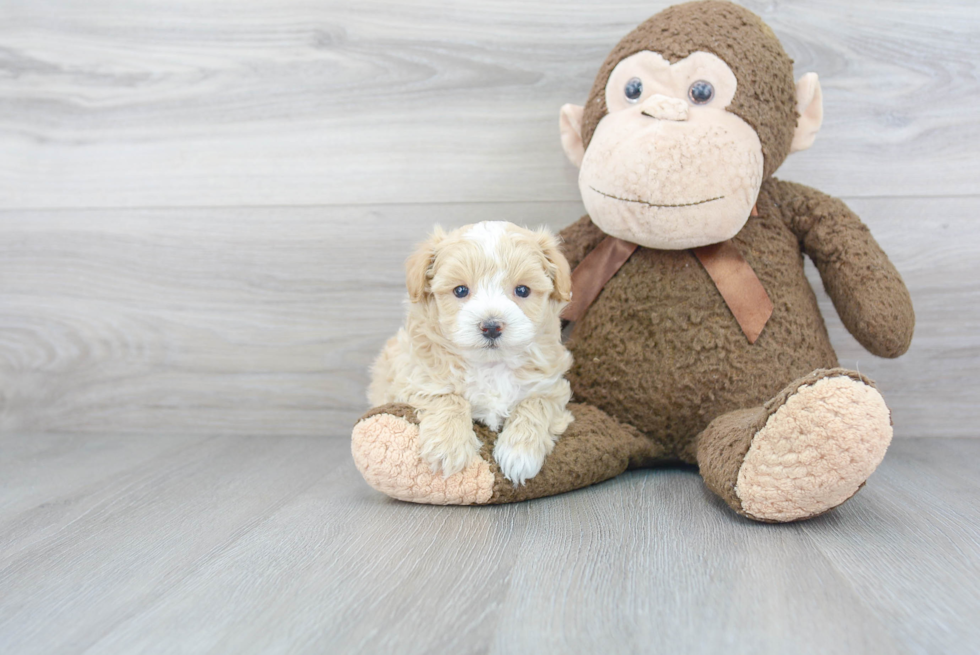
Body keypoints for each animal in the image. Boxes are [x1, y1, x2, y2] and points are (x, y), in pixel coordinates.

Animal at [372, 223, 580, 484]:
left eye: (522, 290)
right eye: (461, 290)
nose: (491, 326)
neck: (491, 365)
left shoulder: (552, 387)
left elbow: (536, 403)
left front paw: (520, 453)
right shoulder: (415, 378)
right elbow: (448, 397)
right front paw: (448, 446)